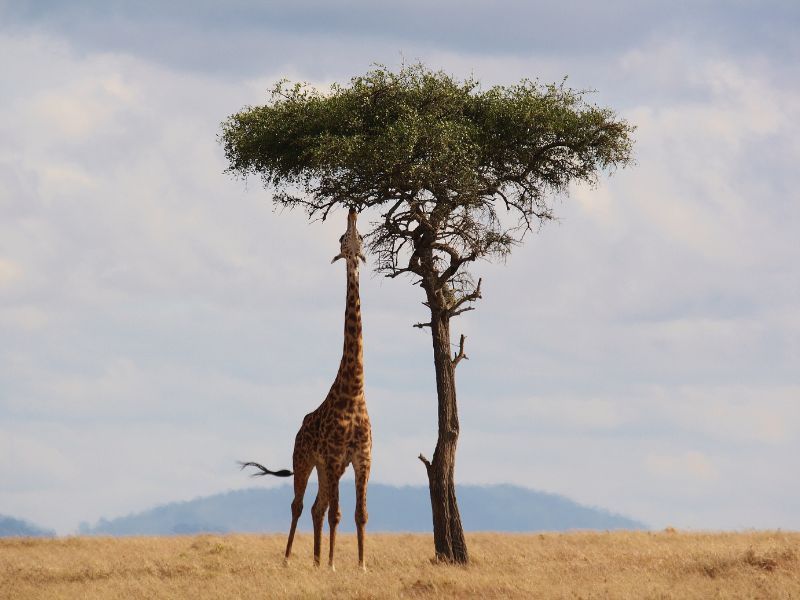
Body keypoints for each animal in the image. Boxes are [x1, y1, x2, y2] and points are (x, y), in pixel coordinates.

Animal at [239, 210, 374, 572]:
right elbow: (338, 514)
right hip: (304, 459)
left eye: (360, 238)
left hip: (326, 468)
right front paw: (333, 565)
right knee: (300, 505)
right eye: (343, 238)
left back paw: (314, 561)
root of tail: (299, 428)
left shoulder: (361, 458)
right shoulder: (334, 456)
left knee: (317, 507)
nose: (352, 211)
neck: (354, 391)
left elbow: (360, 514)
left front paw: (360, 565)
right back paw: (289, 559)